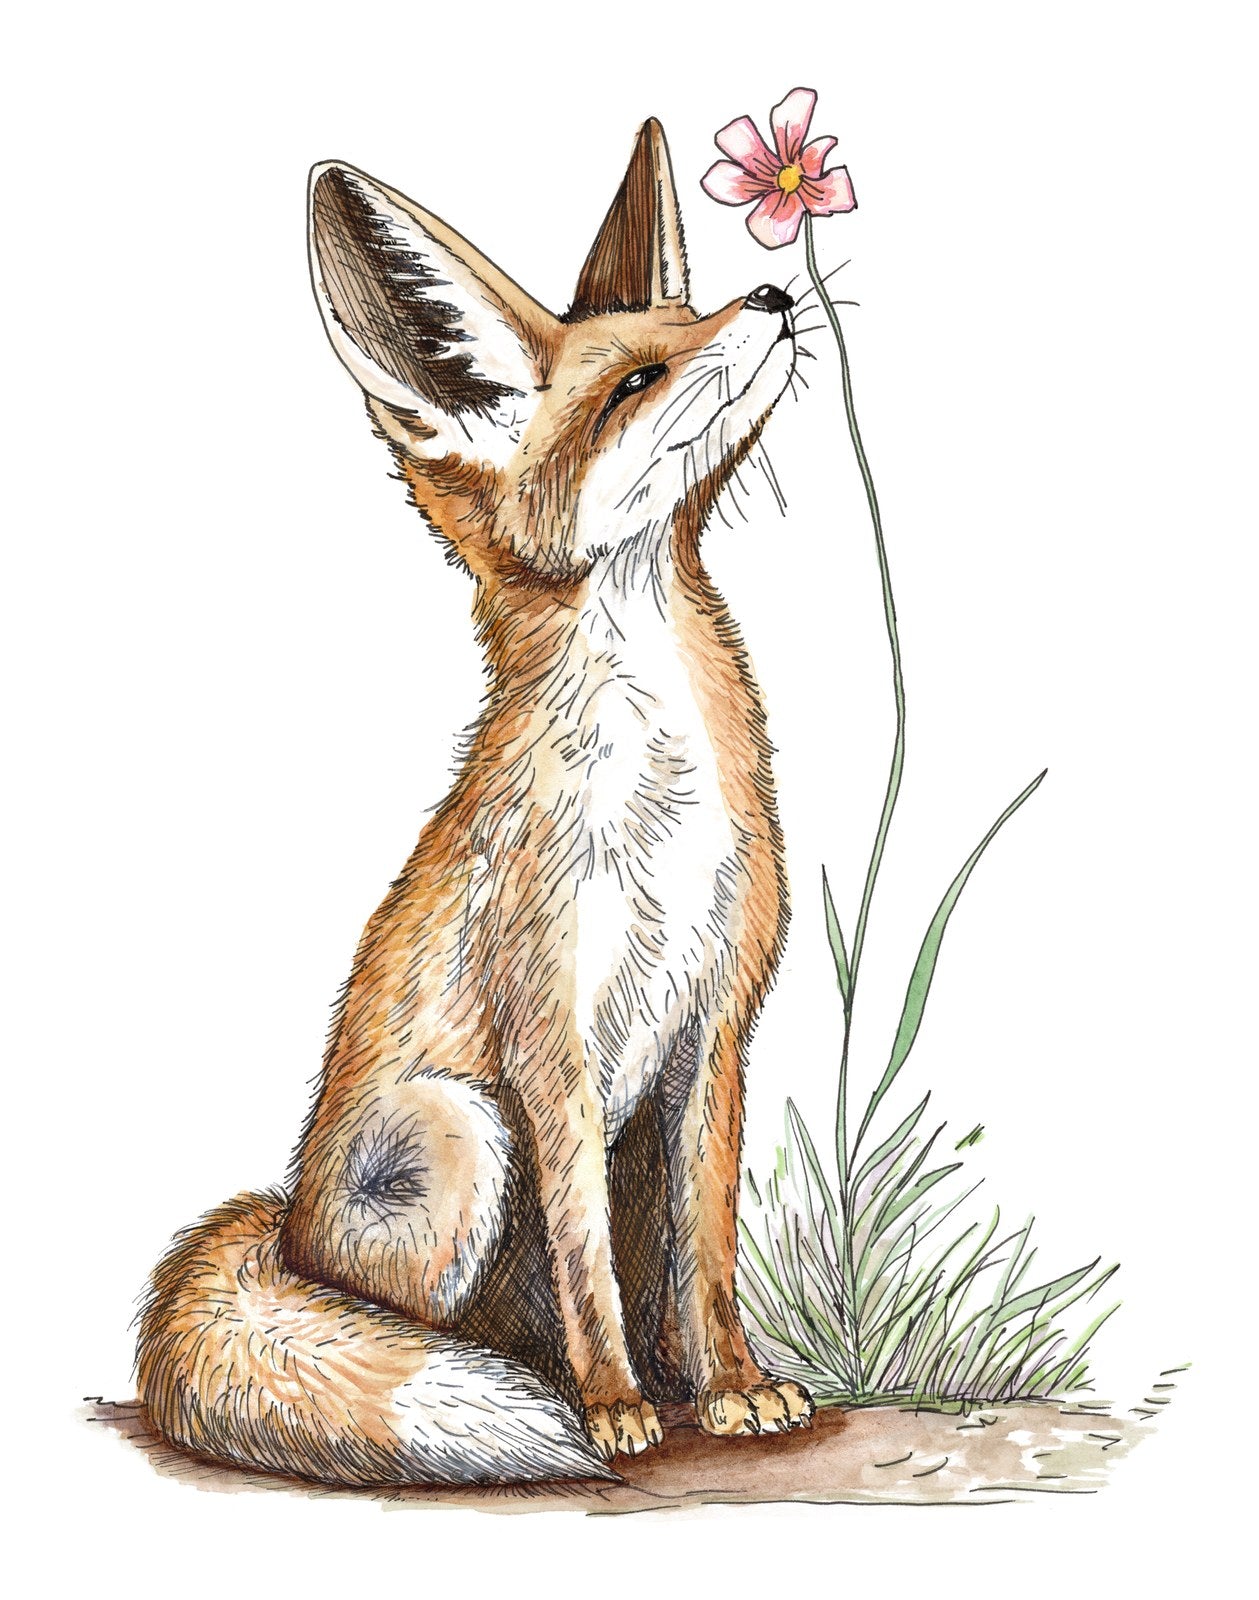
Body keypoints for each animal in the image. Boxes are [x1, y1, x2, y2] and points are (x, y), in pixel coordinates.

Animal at [136, 117, 815, 1487]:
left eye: (693, 314)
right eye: (635, 381)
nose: (773, 293)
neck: (662, 808)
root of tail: (280, 1222)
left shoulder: (715, 1025)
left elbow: (703, 1258)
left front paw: (728, 1387)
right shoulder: (548, 1042)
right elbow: (587, 1261)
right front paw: (609, 1407)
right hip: (463, 1132)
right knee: (399, 1320)